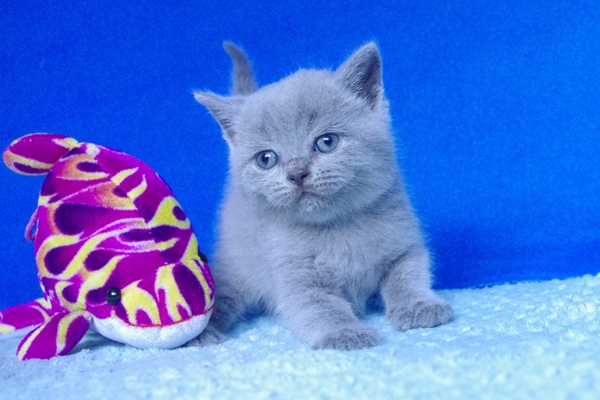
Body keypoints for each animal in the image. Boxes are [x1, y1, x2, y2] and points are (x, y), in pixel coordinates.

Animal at [191, 42, 453, 350]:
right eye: (266, 159)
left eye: (327, 142)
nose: (297, 172)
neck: (338, 228)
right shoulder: (295, 278)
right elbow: (321, 309)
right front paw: (345, 333)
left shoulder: (405, 246)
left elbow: (407, 277)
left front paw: (418, 306)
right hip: (235, 263)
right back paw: (202, 333)